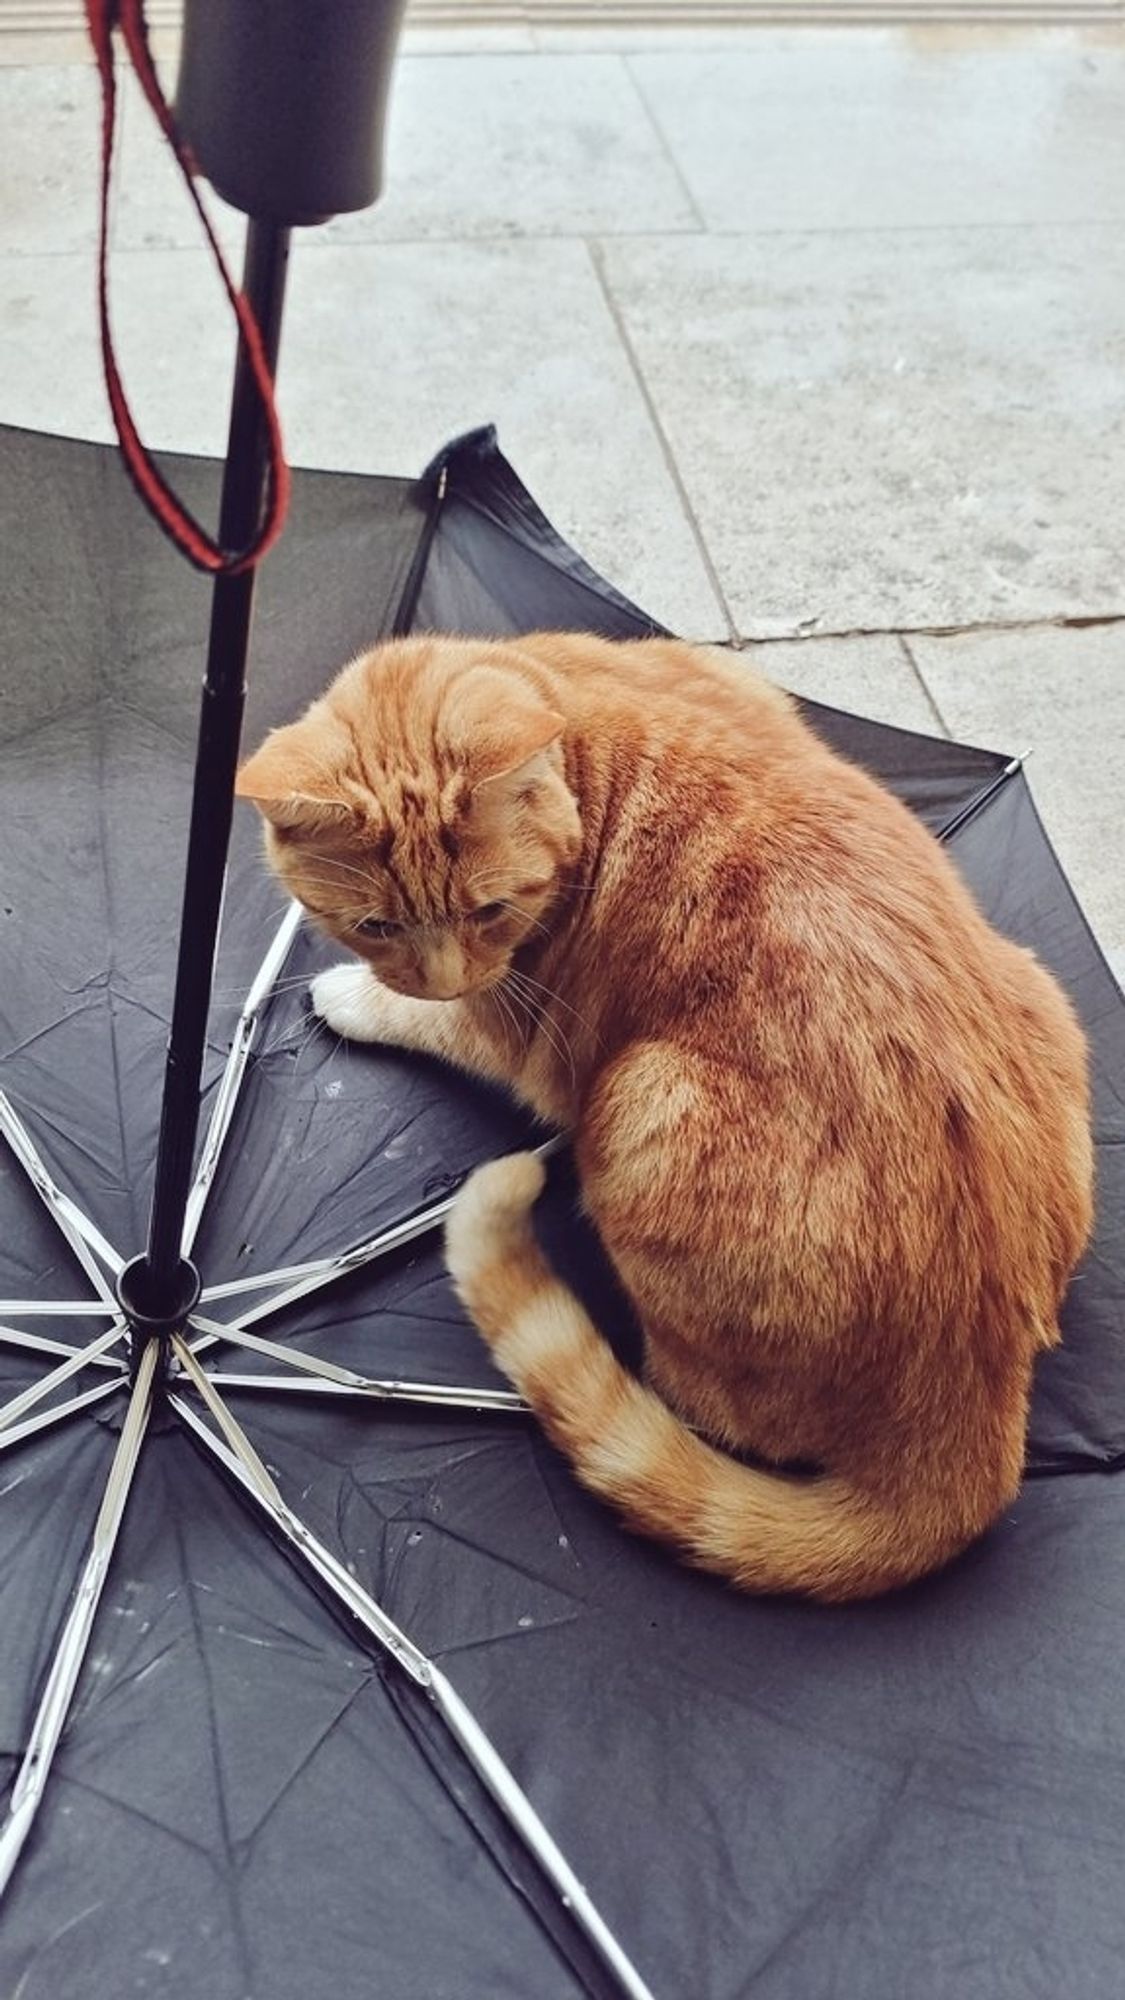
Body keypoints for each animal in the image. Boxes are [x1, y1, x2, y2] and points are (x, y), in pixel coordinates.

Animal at [234, 632, 1088, 1600]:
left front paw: (354, 997)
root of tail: (982, 1401)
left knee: (695, 1401)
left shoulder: (517, 1024)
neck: (571, 710)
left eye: (489, 909)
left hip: (637, 1102)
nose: (448, 976)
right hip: (1036, 986)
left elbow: (426, 1020)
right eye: (377, 923)